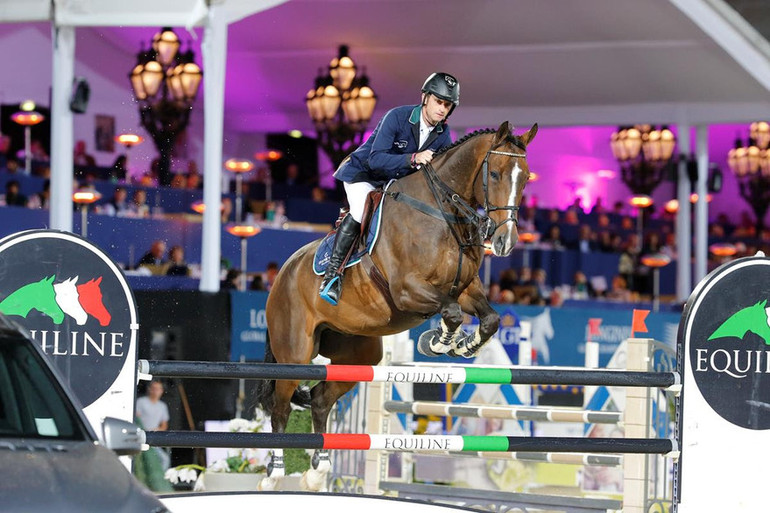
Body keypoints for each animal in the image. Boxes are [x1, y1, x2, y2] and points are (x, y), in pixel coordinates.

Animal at [255, 120, 536, 488]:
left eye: (526, 177)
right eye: (496, 174)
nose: (505, 242)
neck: (443, 213)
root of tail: (282, 274)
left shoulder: (465, 289)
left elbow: (489, 319)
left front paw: (464, 346)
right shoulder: (407, 290)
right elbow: (451, 312)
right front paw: (437, 341)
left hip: (358, 355)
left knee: (320, 400)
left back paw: (318, 472)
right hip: (295, 351)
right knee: (281, 406)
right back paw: (274, 473)